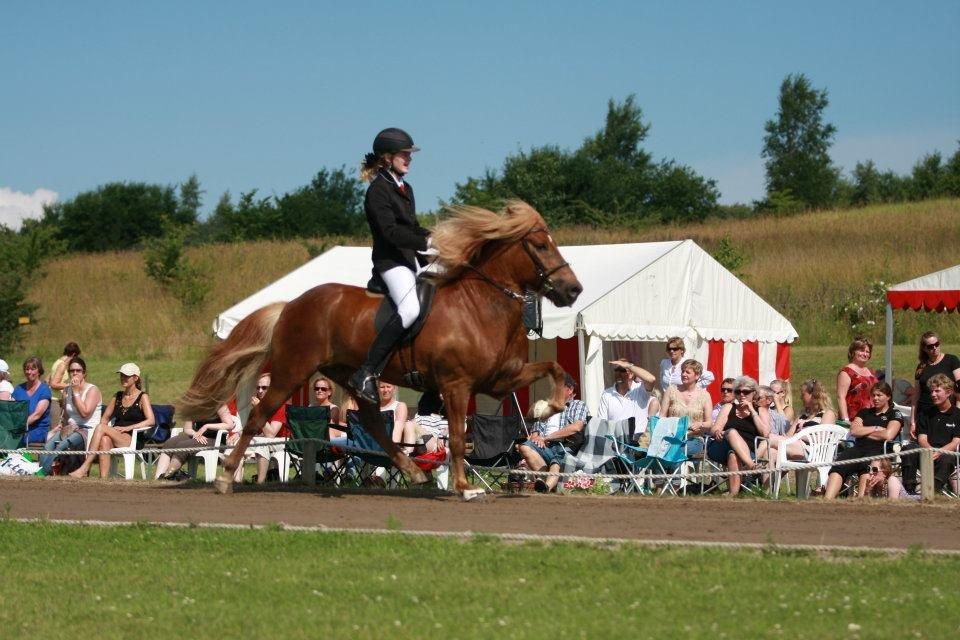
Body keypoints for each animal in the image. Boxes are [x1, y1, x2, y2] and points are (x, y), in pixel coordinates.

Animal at [180, 200, 584, 496]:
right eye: (540, 245)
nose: (573, 290)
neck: (480, 305)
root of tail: (291, 304)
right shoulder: (457, 385)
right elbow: (456, 436)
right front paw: (465, 487)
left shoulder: (499, 379)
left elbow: (555, 370)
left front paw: (544, 406)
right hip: (290, 371)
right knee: (258, 417)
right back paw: (225, 477)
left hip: (350, 375)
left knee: (374, 423)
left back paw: (413, 472)